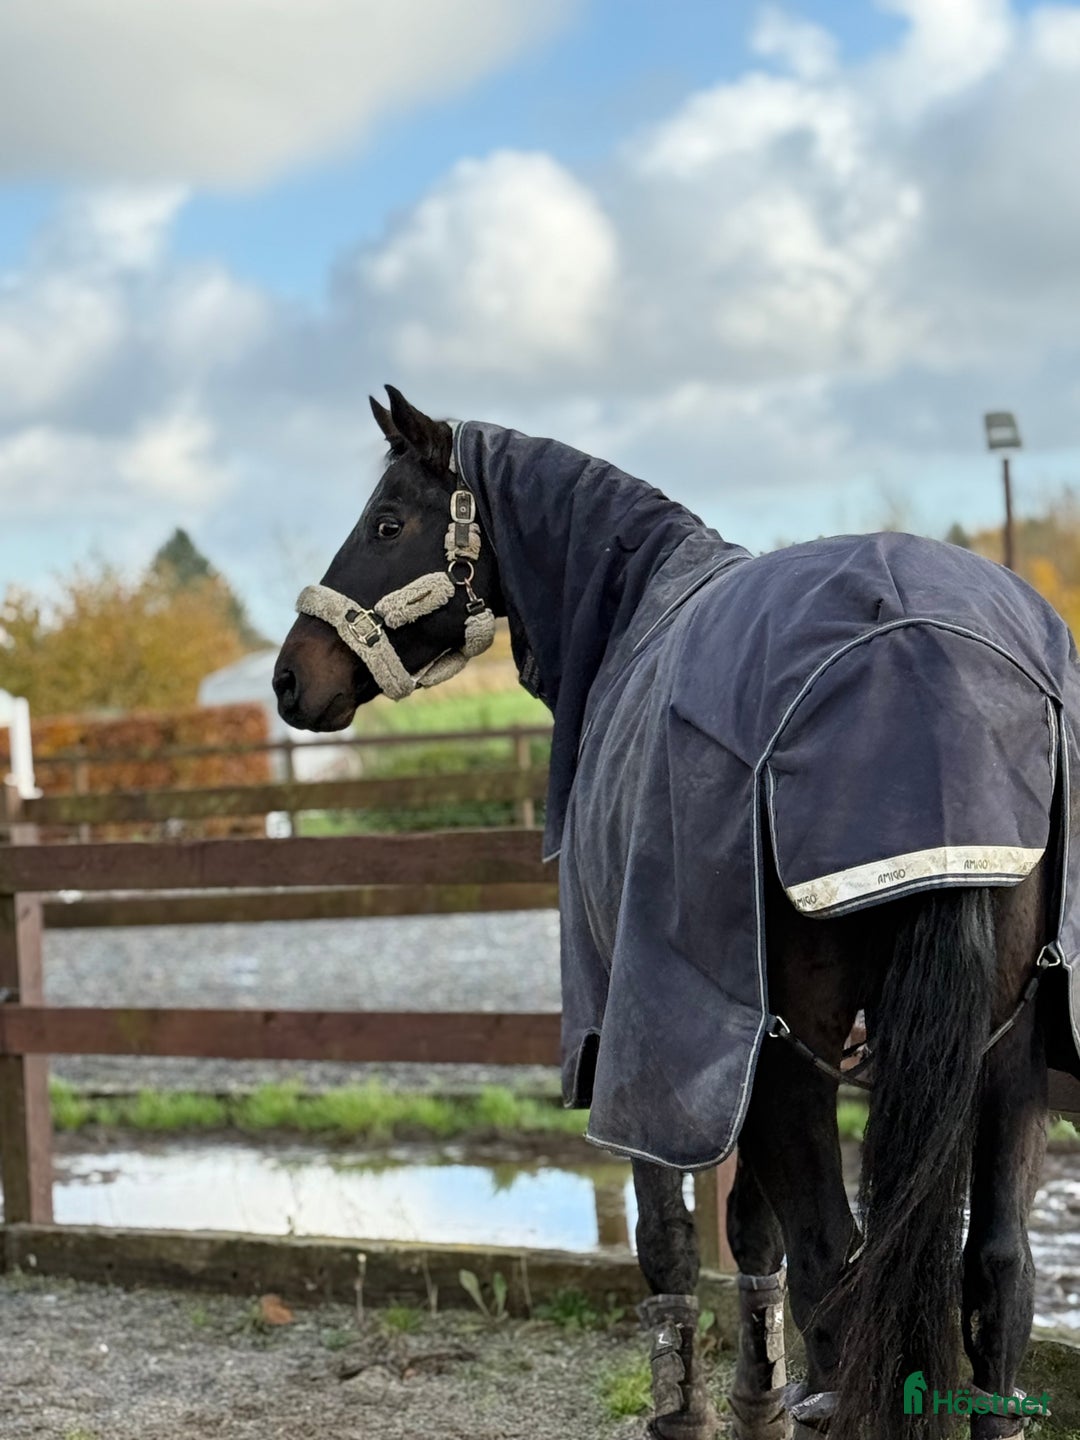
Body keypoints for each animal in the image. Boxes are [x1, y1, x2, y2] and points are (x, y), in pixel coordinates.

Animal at [274, 386, 1080, 1440]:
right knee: (996, 1277)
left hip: (795, 1052)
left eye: (387, 522)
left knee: (838, 1274)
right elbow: (750, 1237)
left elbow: (666, 1241)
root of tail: (929, 674)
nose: (291, 677)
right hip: (1010, 1045)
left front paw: (686, 1412)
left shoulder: (633, 1035)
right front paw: (756, 1401)